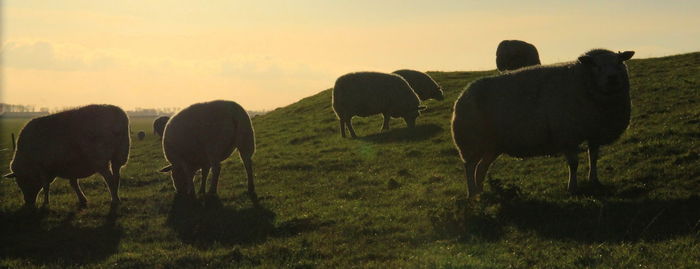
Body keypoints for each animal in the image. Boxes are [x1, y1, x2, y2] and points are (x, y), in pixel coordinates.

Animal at [452, 48, 636, 197]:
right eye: (596, 66)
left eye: (619, 62)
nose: (612, 78)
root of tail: (463, 93)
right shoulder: (567, 134)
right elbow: (574, 164)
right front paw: (572, 188)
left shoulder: (595, 131)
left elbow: (594, 158)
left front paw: (594, 181)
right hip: (471, 141)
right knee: (470, 167)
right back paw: (472, 194)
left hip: (492, 145)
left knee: (481, 168)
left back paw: (480, 192)